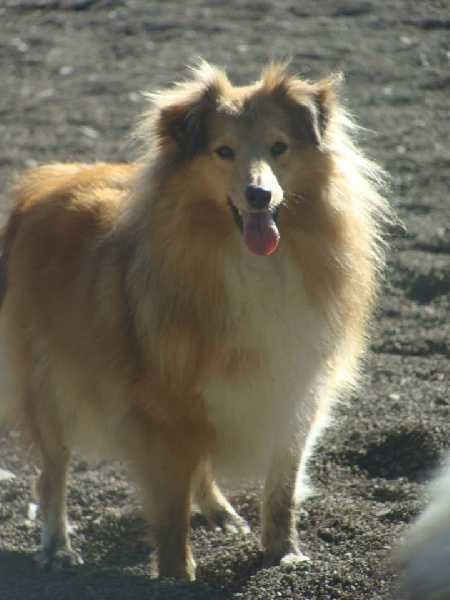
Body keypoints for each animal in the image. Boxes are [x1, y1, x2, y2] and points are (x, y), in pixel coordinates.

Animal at [0, 59, 388, 576]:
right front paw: (175, 575)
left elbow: (281, 491)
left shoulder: (293, 395)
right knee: (52, 474)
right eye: (223, 151)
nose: (259, 194)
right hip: (51, 386)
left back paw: (219, 512)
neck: (253, 263)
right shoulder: (161, 407)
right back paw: (57, 545)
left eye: (279, 147)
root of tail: (40, 185)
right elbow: (170, 509)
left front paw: (284, 554)